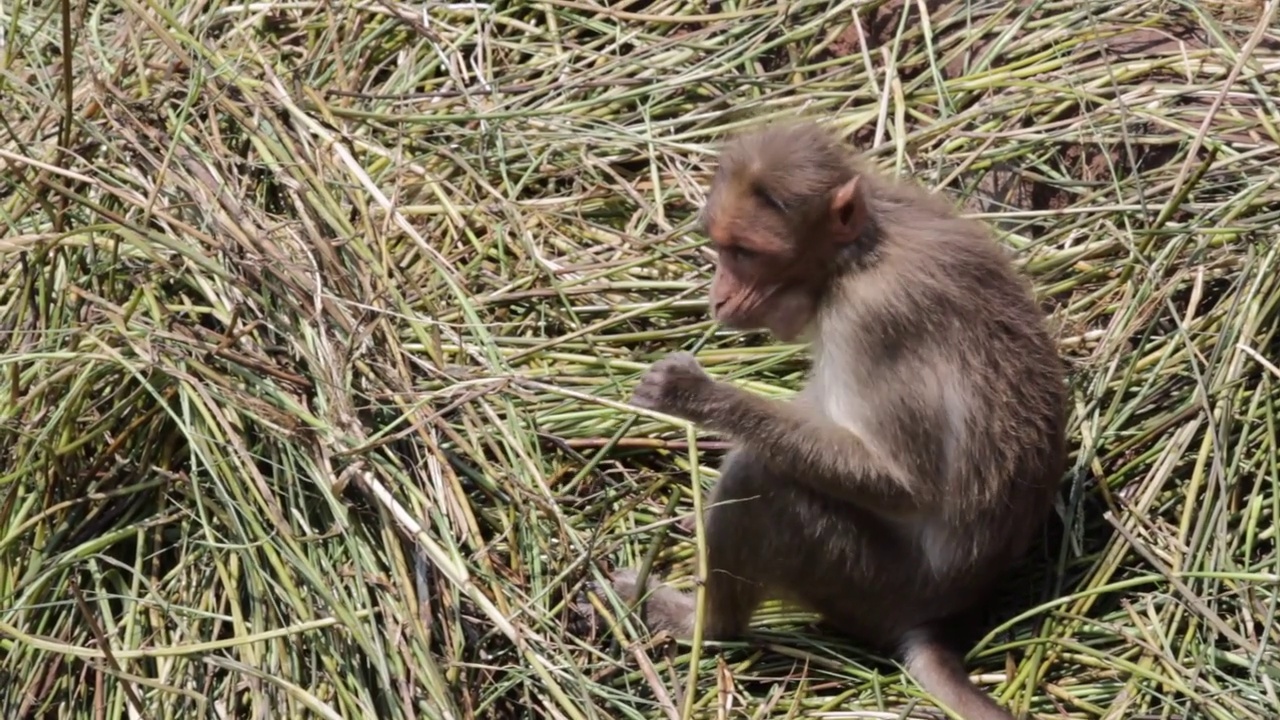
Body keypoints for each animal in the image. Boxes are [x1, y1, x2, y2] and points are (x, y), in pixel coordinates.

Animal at [614, 121, 1064, 717]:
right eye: (721, 247)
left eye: (746, 253)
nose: (718, 298)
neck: (856, 257)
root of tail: (933, 616)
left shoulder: (872, 320)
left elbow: (905, 485)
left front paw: (694, 394)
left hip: (861, 579)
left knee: (757, 478)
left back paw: (702, 623)